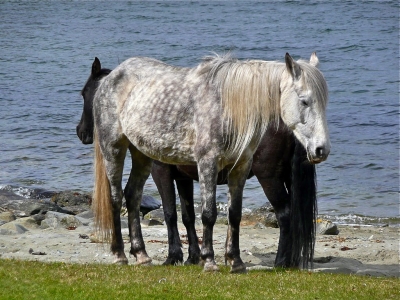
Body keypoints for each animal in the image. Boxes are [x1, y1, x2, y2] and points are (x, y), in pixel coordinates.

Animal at [77, 52, 328, 274]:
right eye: (304, 101)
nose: (321, 149)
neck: (231, 107)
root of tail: (113, 78)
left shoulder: (239, 167)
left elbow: (232, 214)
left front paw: (234, 261)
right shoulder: (205, 164)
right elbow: (202, 214)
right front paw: (207, 261)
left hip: (142, 156)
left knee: (132, 196)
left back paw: (141, 255)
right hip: (115, 149)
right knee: (116, 198)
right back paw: (120, 255)